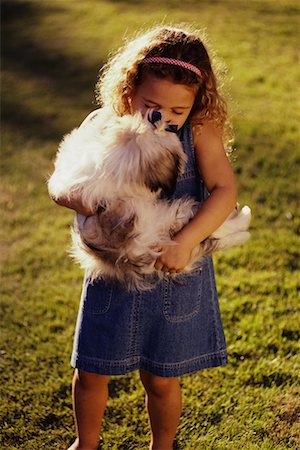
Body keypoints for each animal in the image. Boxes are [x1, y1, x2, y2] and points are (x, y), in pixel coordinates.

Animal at [48, 109, 251, 292]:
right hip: (171, 218)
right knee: (218, 230)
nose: (157, 115)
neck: (105, 165)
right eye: (159, 129)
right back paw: (242, 220)